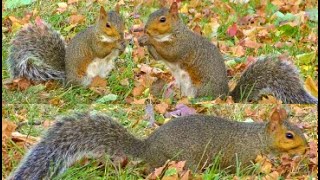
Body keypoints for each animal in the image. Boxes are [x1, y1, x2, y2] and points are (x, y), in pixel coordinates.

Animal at [138, 2, 318, 104]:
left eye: (162, 20)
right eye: (151, 14)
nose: (146, 29)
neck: (173, 33)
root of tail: (226, 96)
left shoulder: (183, 45)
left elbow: (170, 52)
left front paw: (148, 39)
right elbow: (157, 56)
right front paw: (142, 39)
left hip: (201, 88)